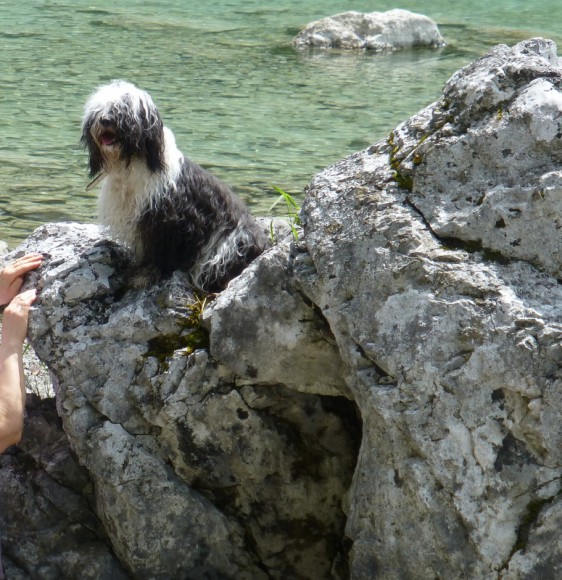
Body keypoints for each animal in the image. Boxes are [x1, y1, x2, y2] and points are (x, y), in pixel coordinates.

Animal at [80, 79, 270, 292]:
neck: (133, 164)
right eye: (99, 109)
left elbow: (160, 252)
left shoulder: (166, 219)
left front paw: (144, 275)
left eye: (124, 108)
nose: (105, 120)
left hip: (229, 247)